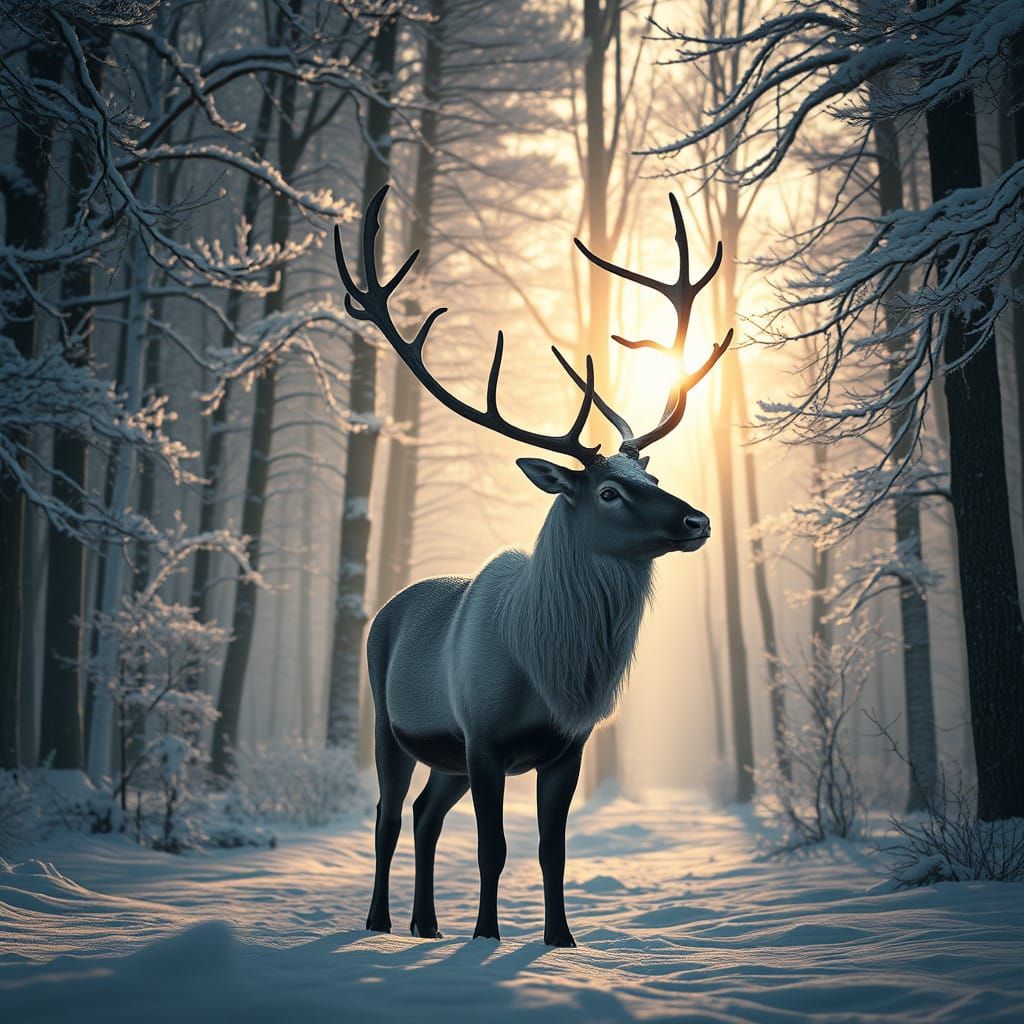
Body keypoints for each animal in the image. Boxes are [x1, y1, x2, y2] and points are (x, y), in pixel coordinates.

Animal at [334, 186, 731, 947]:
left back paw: (427, 925)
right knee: (388, 816)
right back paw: (379, 922)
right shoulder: (483, 735)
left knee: (427, 814)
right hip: (387, 723)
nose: (696, 521)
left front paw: (561, 941)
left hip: (448, 758)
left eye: (651, 474)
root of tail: (388, 606)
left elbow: (553, 850)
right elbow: (494, 848)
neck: (547, 668)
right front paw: (487, 937)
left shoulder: (565, 749)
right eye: (608, 492)